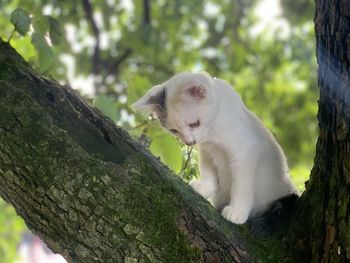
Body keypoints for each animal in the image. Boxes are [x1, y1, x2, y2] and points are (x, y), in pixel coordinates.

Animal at [133, 72, 300, 231]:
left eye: (194, 123)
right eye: (174, 130)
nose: (189, 142)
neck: (213, 133)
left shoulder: (247, 151)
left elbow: (241, 185)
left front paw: (237, 211)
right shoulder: (207, 150)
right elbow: (207, 170)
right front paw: (205, 187)